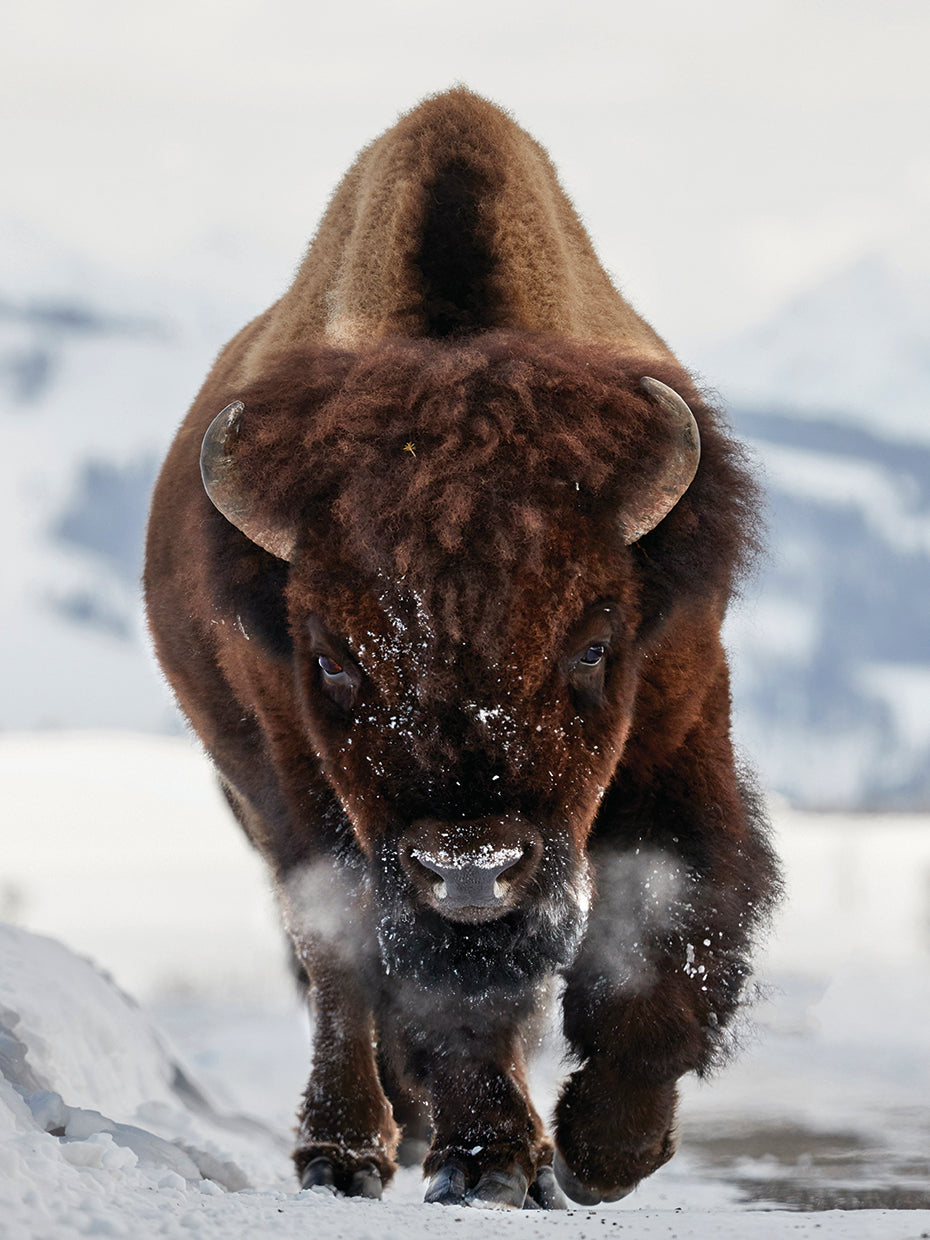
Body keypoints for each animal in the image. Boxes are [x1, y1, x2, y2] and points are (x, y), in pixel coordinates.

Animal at [144, 88, 780, 1209]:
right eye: (333, 659)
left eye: (594, 644)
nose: (472, 871)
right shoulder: (309, 780)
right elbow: (413, 978)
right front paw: (490, 1160)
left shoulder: (681, 718)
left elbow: (675, 911)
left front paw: (603, 1151)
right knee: (338, 963)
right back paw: (349, 1150)